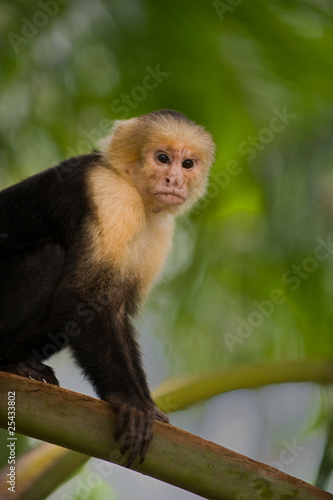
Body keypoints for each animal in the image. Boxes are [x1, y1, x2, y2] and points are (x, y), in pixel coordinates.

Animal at [0, 108, 215, 464]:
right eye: (162, 158)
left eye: (187, 164)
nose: (175, 181)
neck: (132, 186)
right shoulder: (111, 196)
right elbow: (81, 297)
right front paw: (129, 401)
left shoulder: (160, 230)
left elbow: (114, 307)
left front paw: (148, 405)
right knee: (46, 258)